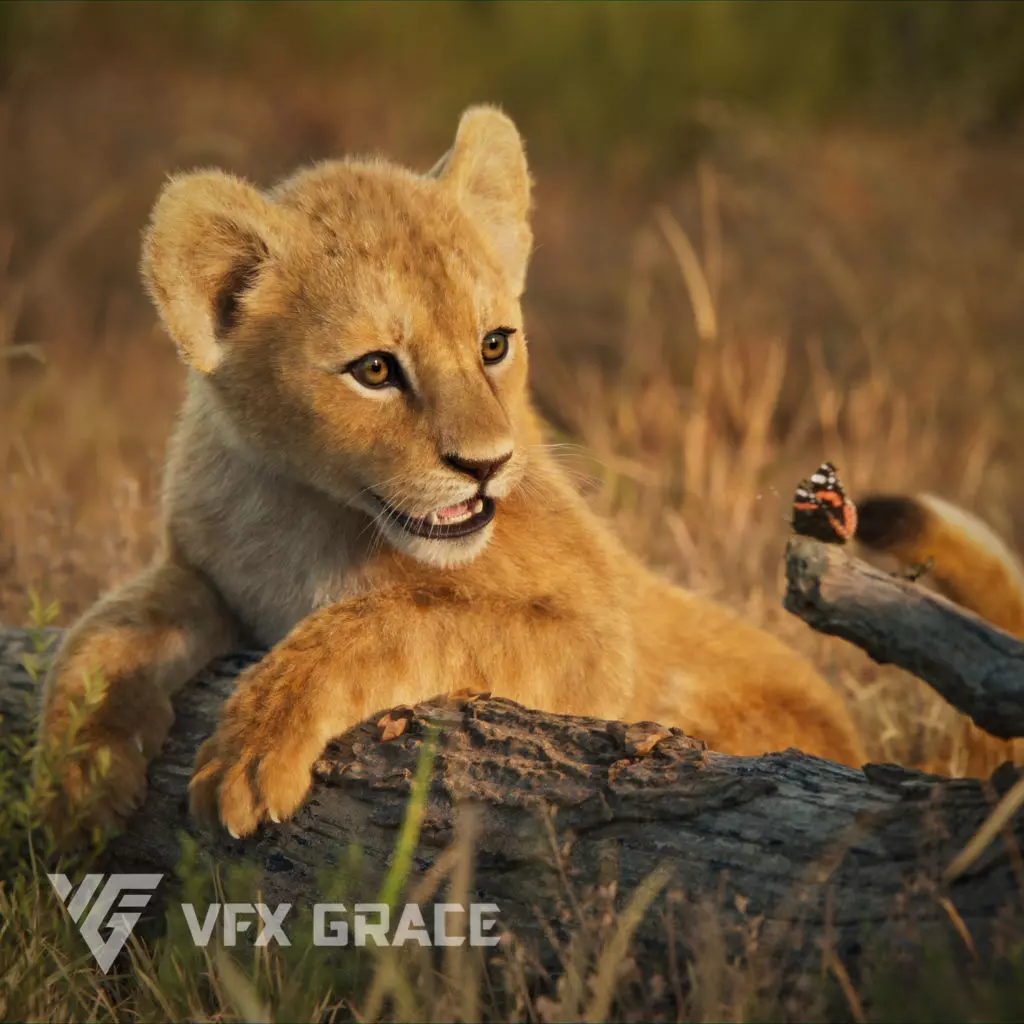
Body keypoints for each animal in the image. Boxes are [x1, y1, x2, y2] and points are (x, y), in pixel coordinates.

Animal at [38, 106, 866, 838]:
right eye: (375, 369)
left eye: (494, 344)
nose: (486, 465)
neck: (307, 509)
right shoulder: (205, 574)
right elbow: (106, 630)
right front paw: (73, 781)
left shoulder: (598, 637)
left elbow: (395, 616)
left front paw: (248, 754)